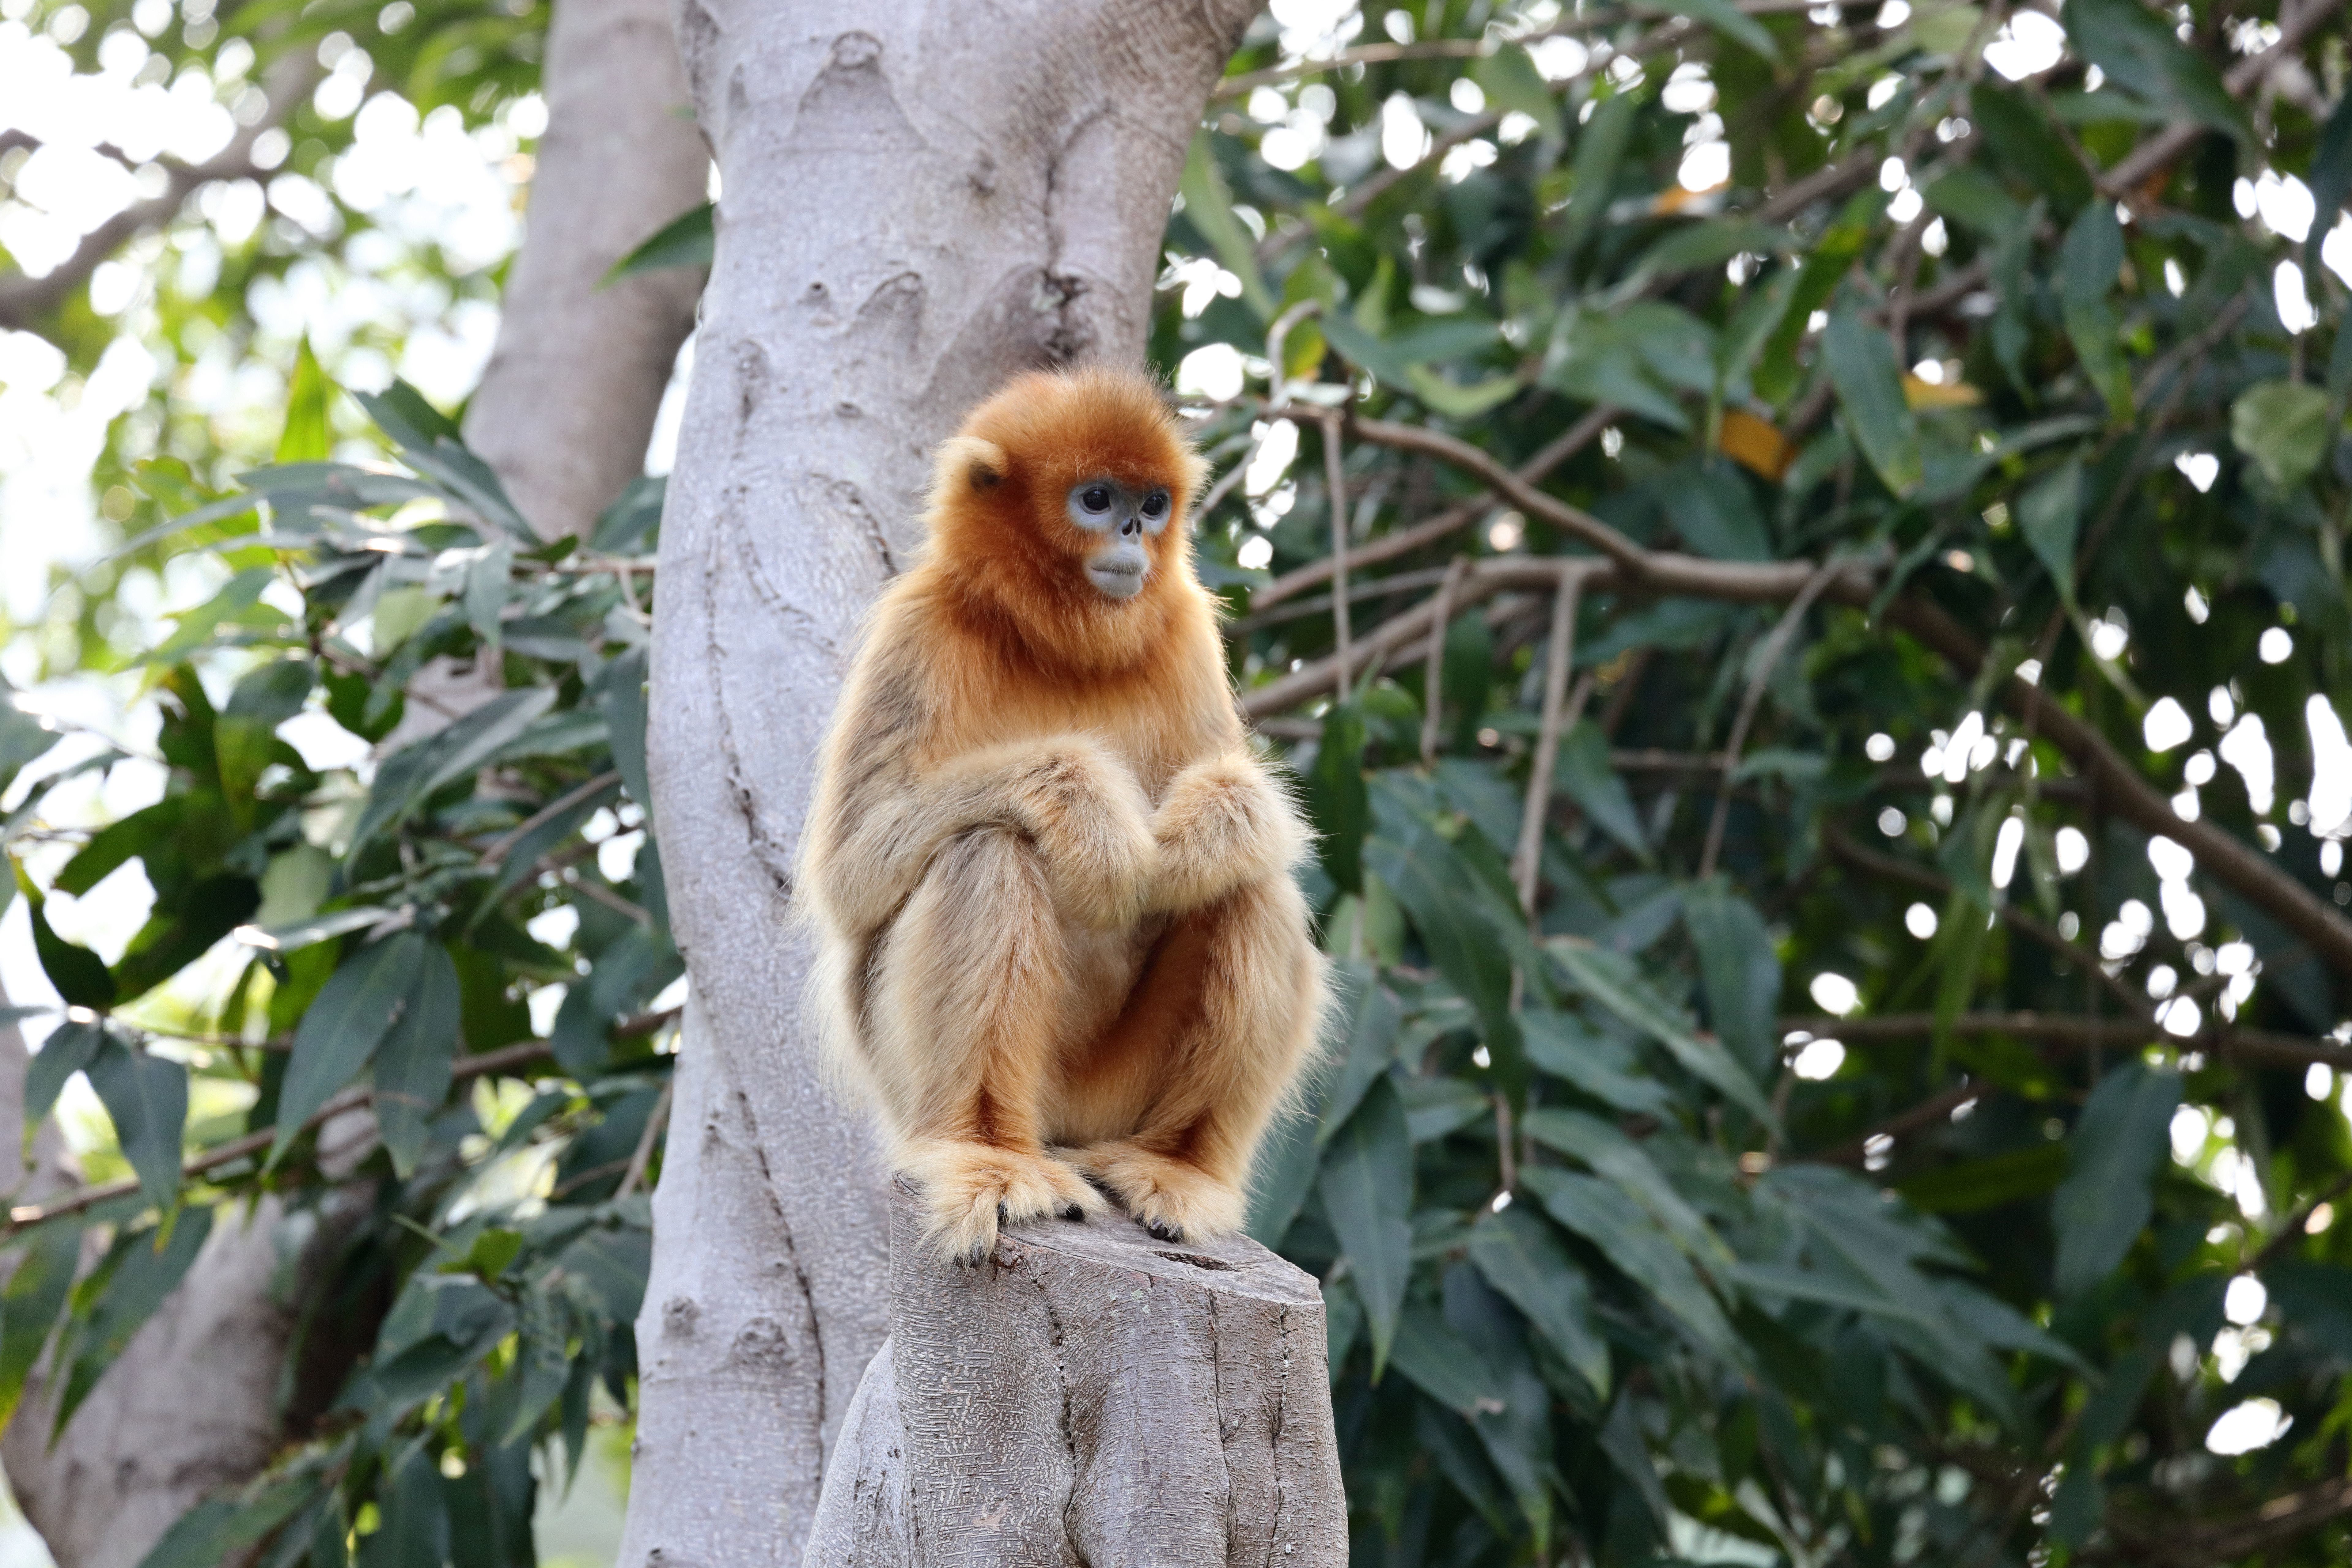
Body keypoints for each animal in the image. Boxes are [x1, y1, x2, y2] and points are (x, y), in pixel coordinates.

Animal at [799, 364, 1328, 1263]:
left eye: (1153, 503)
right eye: (1095, 498)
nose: (1133, 531)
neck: (1057, 641)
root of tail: (1062, 1125)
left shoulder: (1185, 628)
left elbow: (1243, 808)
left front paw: (1193, 838)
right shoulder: (918, 625)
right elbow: (851, 873)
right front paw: (1091, 813)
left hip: (1113, 1093)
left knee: (1252, 888)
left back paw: (1175, 1168)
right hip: (940, 1084)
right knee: (986, 847)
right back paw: (988, 1155)